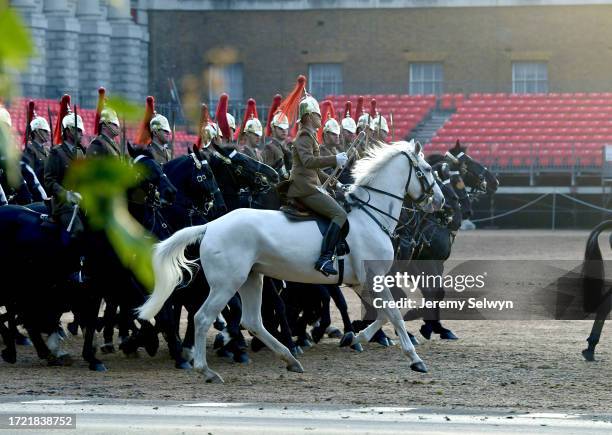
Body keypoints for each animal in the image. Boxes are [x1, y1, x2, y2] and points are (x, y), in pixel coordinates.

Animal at [139, 141, 444, 384]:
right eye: (427, 169)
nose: (440, 201)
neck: (370, 215)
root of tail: (211, 225)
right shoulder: (374, 278)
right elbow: (392, 313)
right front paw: (415, 360)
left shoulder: (363, 282)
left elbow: (383, 313)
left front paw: (355, 338)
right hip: (226, 284)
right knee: (203, 317)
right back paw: (207, 369)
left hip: (252, 279)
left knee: (252, 320)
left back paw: (290, 359)